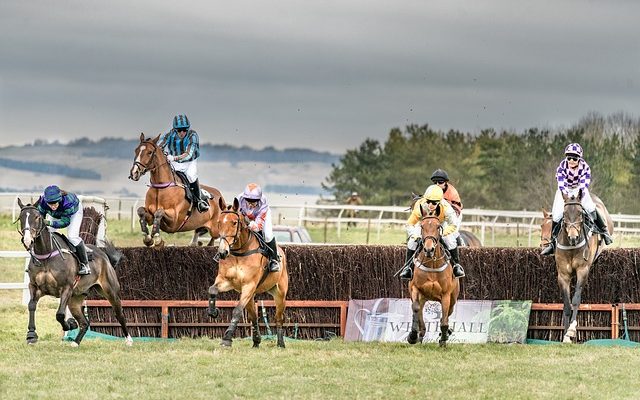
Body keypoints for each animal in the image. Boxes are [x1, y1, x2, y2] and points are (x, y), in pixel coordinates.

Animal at [16, 200, 131, 346]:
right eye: (21, 218)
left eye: (37, 217)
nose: (27, 240)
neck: (46, 254)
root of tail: (104, 255)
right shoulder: (35, 286)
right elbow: (31, 305)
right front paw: (31, 335)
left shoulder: (66, 288)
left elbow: (59, 314)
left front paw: (69, 325)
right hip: (75, 298)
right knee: (84, 322)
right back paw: (75, 342)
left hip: (110, 290)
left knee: (119, 313)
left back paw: (129, 340)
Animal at [206, 198, 288, 348]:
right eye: (219, 222)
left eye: (234, 222)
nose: (222, 252)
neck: (240, 252)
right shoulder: (226, 281)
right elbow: (212, 289)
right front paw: (213, 311)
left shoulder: (249, 285)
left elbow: (237, 310)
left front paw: (227, 338)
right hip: (251, 295)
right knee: (253, 316)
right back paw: (256, 341)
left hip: (279, 293)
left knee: (279, 318)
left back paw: (280, 343)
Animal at [408, 206, 458, 346]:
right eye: (422, 226)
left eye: (438, 226)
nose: (429, 249)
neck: (432, 264)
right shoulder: (415, 288)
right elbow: (415, 309)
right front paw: (412, 336)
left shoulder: (446, 295)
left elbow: (444, 321)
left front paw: (443, 340)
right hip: (422, 297)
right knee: (420, 314)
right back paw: (419, 336)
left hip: (453, 299)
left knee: (446, 316)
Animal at [548, 192, 612, 342]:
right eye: (564, 214)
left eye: (580, 213)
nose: (573, 238)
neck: (571, 247)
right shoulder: (563, 275)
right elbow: (566, 304)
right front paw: (565, 335)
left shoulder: (582, 271)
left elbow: (576, 300)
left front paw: (571, 329)